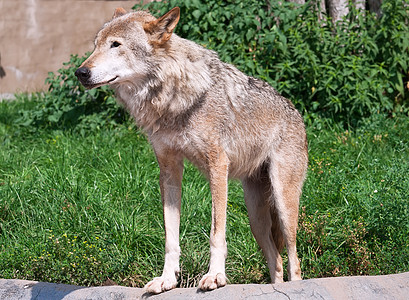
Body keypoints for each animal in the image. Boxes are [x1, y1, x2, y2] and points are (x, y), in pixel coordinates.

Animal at [75, 7, 308, 296]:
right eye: (95, 45)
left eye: (116, 45)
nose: (80, 72)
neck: (170, 99)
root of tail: (296, 112)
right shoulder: (168, 170)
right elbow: (170, 237)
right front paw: (166, 280)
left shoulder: (217, 165)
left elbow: (217, 232)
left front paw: (215, 276)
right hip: (255, 217)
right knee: (276, 262)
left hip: (283, 204)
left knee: (294, 258)